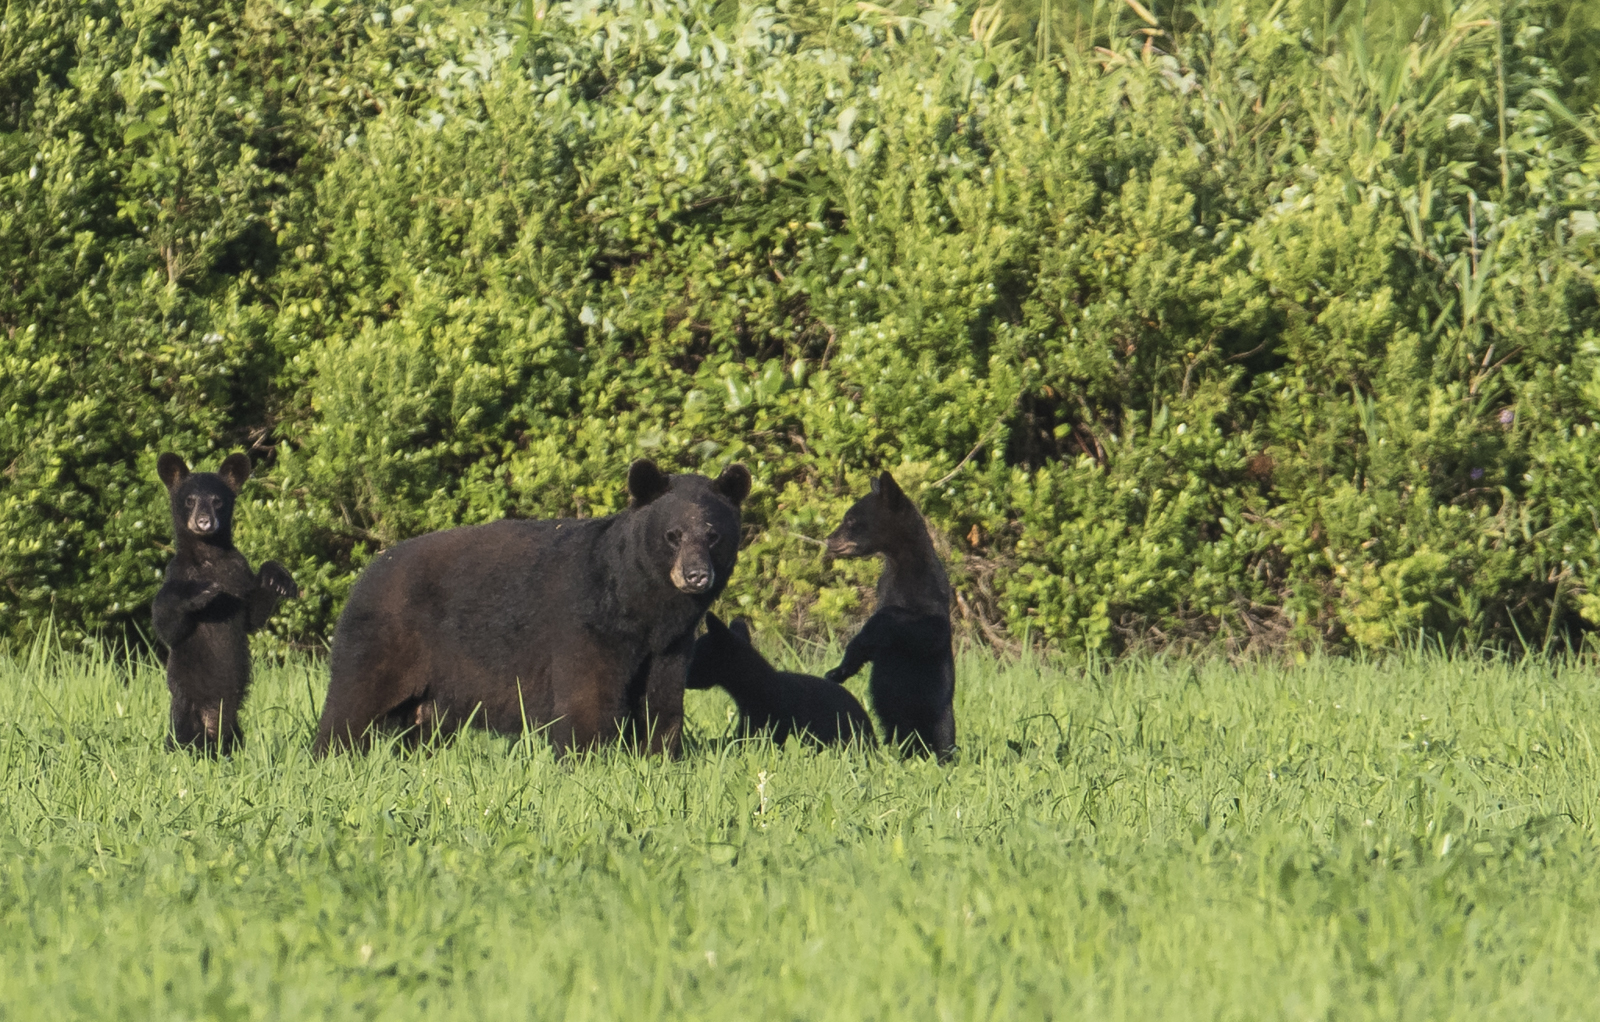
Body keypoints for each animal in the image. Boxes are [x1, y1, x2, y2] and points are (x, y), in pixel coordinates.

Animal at [151, 452, 298, 755]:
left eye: (217, 500)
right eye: (189, 499)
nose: (204, 521)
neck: (210, 558)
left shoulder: (238, 573)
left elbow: (252, 616)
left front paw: (278, 578)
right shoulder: (176, 574)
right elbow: (168, 627)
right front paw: (199, 592)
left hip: (234, 726)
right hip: (185, 710)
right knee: (181, 738)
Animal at [313, 459, 751, 757]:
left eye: (713, 535)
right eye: (673, 535)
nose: (696, 575)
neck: (640, 606)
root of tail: (368, 572)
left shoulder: (671, 644)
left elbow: (661, 701)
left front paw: (660, 757)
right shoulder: (587, 623)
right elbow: (587, 697)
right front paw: (586, 759)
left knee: (423, 726)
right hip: (386, 638)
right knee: (353, 702)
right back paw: (332, 755)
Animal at [823, 471, 957, 760]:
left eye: (850, 520)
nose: (828, 539)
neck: (900, 563)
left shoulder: (930, 591)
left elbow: (927, 629)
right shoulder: (884, 586)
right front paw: (839, 670)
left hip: (938, 711)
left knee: (943, 736)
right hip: (892, 722)